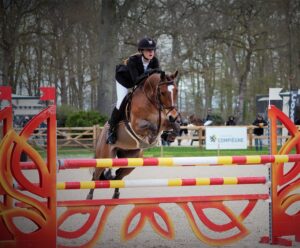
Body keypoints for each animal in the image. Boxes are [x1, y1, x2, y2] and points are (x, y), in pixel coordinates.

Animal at [86, 70, 180, 200]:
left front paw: (169, 136)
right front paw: (153, 138)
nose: (173, 116)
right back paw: (89, 198)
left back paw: (116, 196)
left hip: (131, 159)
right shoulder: (137, 125)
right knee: (96, 176)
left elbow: (175, 126)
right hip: (104, 157)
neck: (151, 101)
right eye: (162, 92)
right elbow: (152, 127)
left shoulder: (165, 121)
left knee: (119, 175)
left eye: (176, 91)